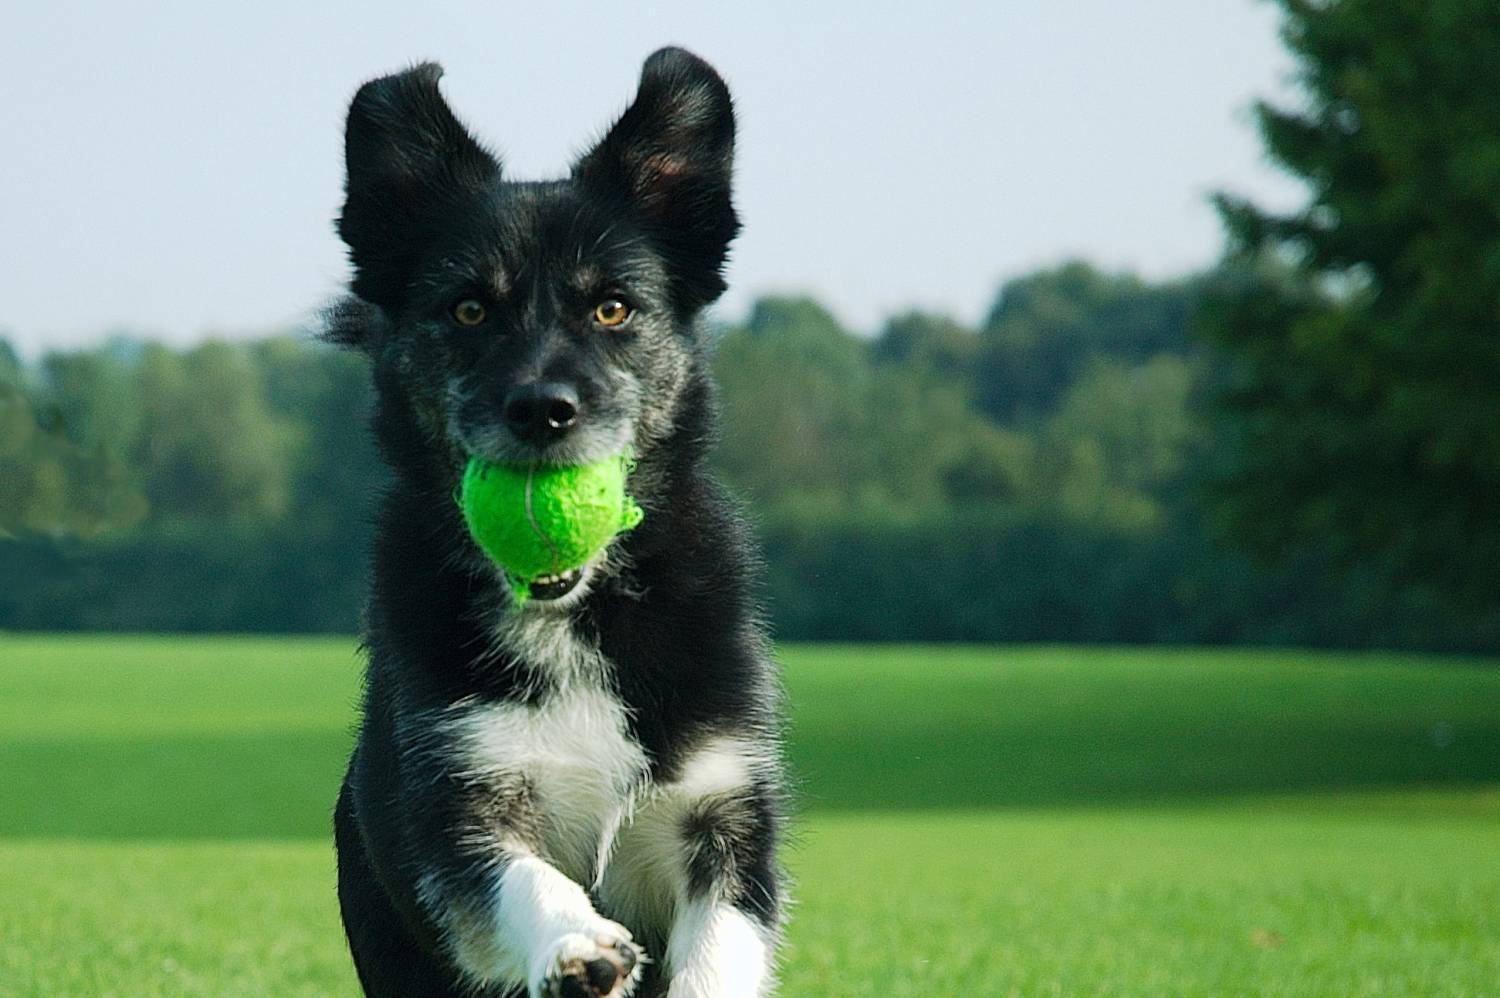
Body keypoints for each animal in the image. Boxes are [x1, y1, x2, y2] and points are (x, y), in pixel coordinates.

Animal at [328, 50, 792, 996]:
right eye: (468, 309)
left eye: (612, 308)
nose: (543, 409)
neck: (574, 615)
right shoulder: (453, 798)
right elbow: (512, 878)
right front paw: (578, 942)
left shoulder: (724, 811)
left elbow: (719, 949)